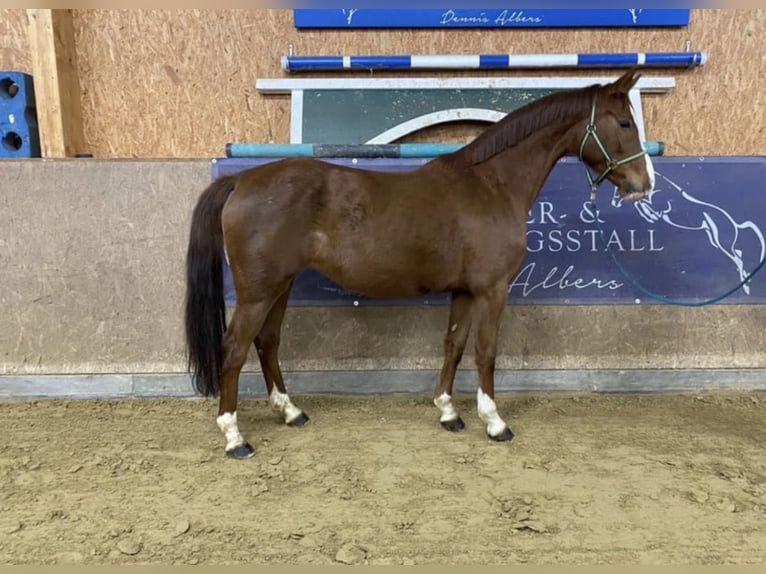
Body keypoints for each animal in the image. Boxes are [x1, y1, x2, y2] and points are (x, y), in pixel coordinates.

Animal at [184, 69, 656, 459]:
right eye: (625, 123)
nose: (643, 185)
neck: (491, 185)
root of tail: (242, 179)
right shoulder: (492, 289)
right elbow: (486, 351)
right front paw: (494, 422)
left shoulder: (465, 290)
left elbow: (454, 345)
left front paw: (448, 412)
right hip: (257, 293)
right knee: (234, 349)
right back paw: (235, 437)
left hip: (279, 286)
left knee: (267, 342)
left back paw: (291, 412)